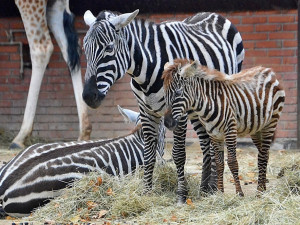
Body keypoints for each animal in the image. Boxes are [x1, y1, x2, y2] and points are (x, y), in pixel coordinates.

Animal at [81, 8, 244, 202]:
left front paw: (181, 195)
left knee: (214, 141)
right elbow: (148, 154)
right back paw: (205, 188)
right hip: (197, 108)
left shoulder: (178, 112)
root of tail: (210, 13)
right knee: (206, 143)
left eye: (109, 48)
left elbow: (178, 154)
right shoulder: (146, 112)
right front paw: (146, 192)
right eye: (84, 49)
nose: (88, 97)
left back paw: (213, 188)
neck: (145, 73)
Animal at [163, 59, 284, 197]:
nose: (167, 123)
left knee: (263, 156)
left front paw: (239, 193)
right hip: (257, 128)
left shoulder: (230, 130)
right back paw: (262, 188)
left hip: (271, 122)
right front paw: (220, 192)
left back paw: (259, 191)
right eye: (164, 94)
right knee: (264, 154)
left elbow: (232, 162)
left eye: (178, 93)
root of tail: (267, 70)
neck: (208, 104)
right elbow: (219, 163)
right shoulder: (214, 134)